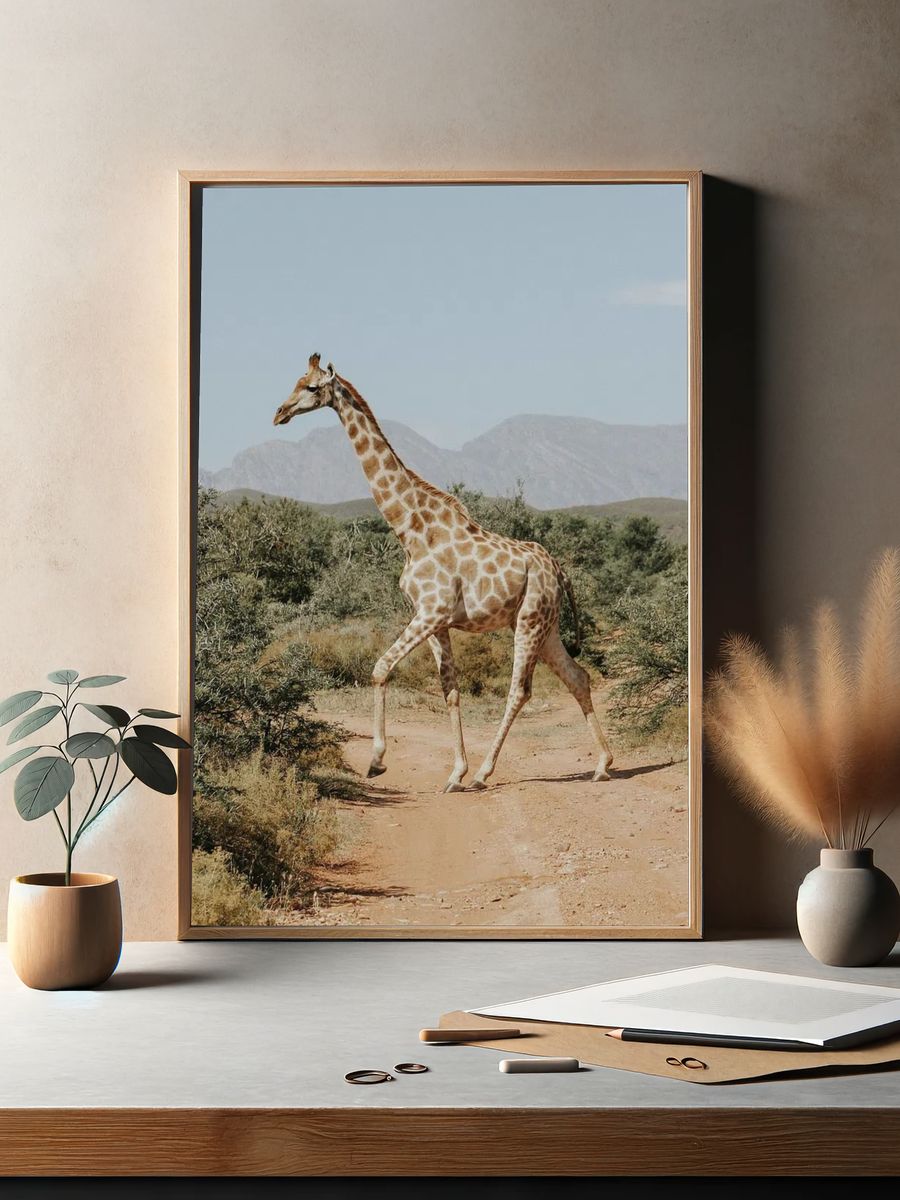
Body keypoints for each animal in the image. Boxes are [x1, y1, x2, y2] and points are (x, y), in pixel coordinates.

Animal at [273, 354, 614, 792]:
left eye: (313, 388)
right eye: (296, 381)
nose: (279, 413)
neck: (410, 529)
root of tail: (558, 570)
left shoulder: (431, 612)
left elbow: (380, 668)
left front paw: (378, 761)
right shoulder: (436, 622)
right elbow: (450, 691)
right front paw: (454, 773)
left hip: (529, 621)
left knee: (520, 690)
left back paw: (486, 773)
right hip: (547, 624)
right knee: (578, 676)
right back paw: (603, 764)